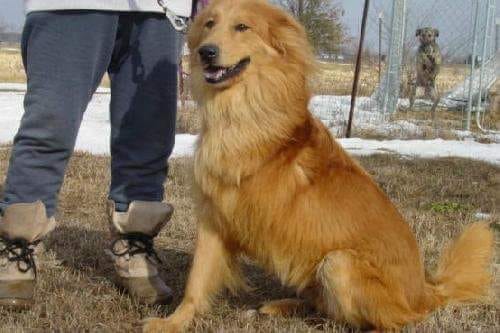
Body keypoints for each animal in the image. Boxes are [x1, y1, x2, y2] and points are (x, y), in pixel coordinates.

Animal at [144, 0, 492, 330]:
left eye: (242, 27)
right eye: (209, 24)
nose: (206, 52)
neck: (245, 111)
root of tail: (425, 290)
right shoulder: (213, 218)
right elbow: (197, 280)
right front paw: (173, 322)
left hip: (338, 264)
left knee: (391, 321)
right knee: (326, 308)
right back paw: (281, 305)